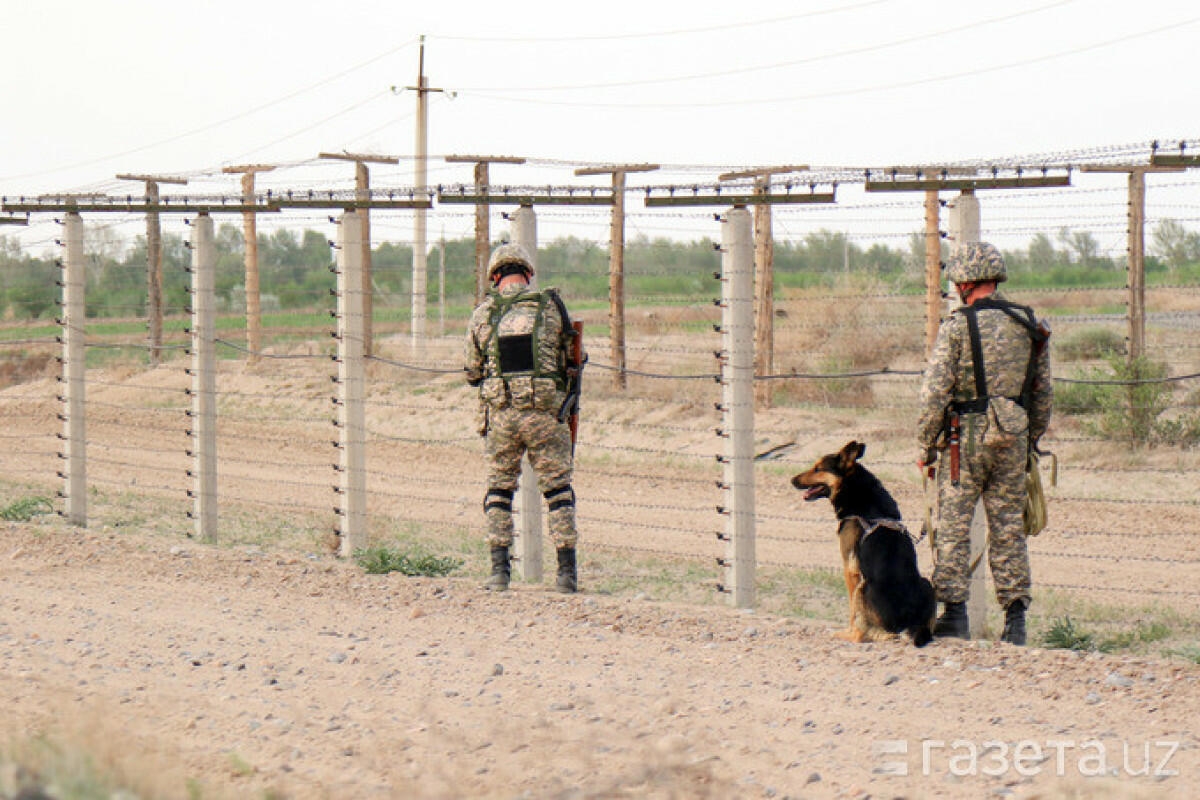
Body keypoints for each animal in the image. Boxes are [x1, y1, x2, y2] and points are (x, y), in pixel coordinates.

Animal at [796, 441, 936, 647]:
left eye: (817, 468)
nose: (792, 480)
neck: (853, 488)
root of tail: (905, 624)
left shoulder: (850, 568)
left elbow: (852, 613)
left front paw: (848, 629)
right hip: (927, 584)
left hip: (863, 587)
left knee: (862, 635)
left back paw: (843, 634)